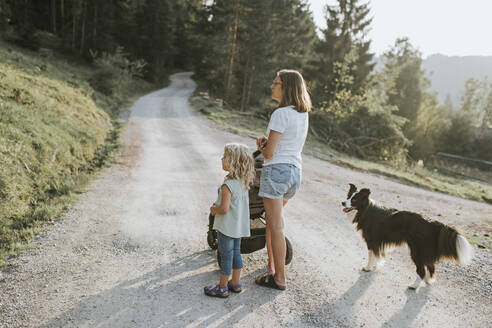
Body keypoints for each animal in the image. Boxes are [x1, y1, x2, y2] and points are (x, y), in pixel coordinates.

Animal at [342, 183, 472, 290]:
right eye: (348, 196)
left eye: (354, 199)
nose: (342, 202)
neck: (365, 210)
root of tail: (433, 223)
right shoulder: (377, 243)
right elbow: (377, 256)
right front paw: (375, 266)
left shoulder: (372, 241)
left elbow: (371, 256)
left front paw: (368, 268)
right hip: (424, 251)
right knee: (431, 266)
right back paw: (428, 280)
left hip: (417, 251)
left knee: (421, 270)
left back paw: (414, 285)